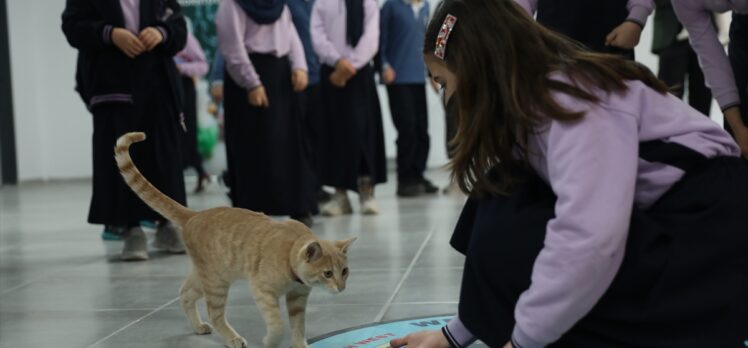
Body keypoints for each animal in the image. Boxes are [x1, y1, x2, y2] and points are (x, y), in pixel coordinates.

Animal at [114, 132, 356, 346]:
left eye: (345, 271)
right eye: (327, 273)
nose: (342, 288)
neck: (289, 256)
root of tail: (194, 214)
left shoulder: (298, 299)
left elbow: (298, 328)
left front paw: (299, 345)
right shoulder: (262, 292)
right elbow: (277, 325)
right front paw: (271, 341)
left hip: (207, 277)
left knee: (185, 293)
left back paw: (198, 326)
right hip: (216, 282)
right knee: (214, 313)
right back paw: (232, 338)